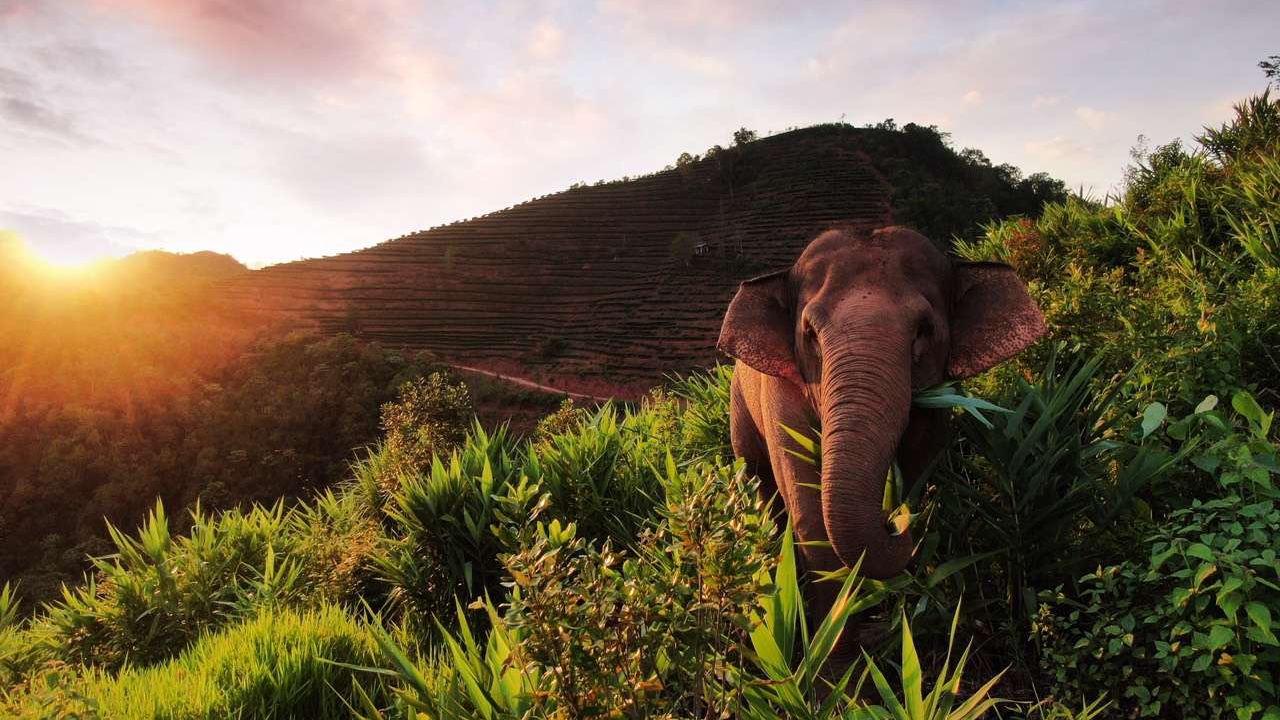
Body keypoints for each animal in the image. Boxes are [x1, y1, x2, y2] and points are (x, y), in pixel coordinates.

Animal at [716, 222, 1044, 638]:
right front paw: (832, 647)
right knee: (760, 484)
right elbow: (809, 511)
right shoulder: (782, 397)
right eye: (809, 333)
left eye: (925, 329)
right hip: (739, 407)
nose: (897, 520)